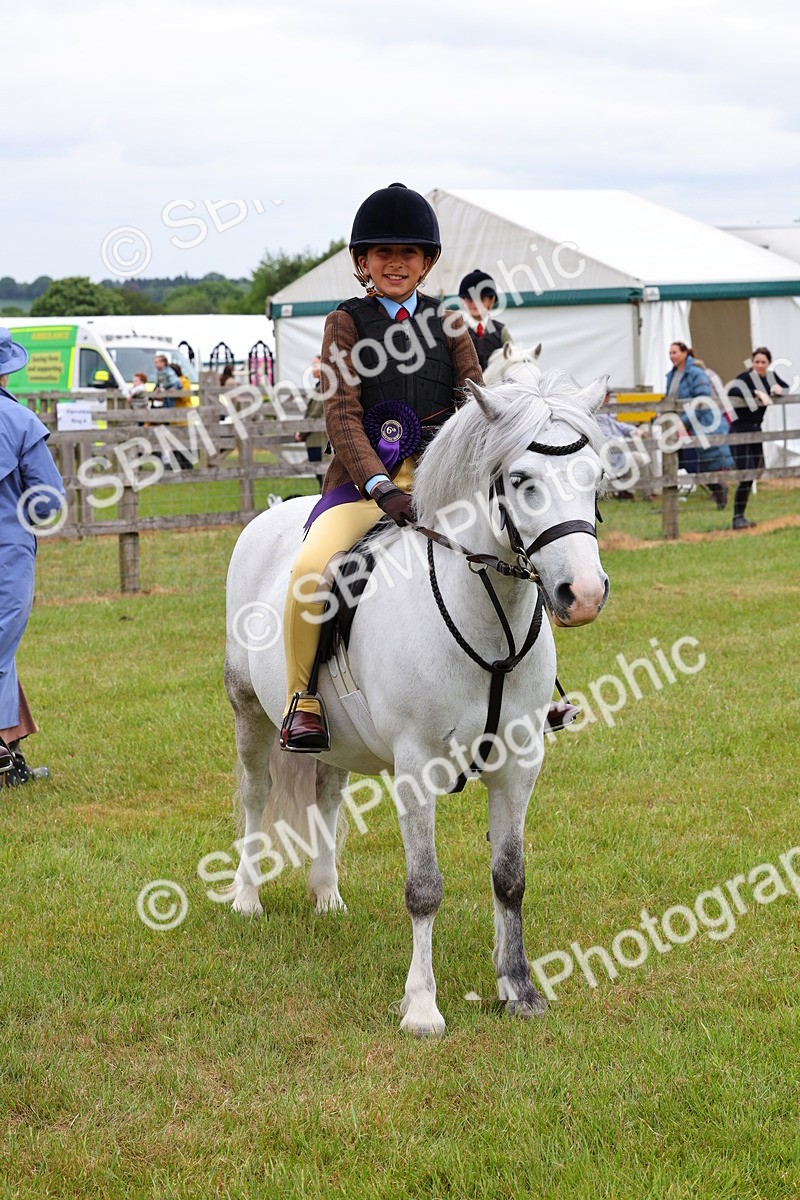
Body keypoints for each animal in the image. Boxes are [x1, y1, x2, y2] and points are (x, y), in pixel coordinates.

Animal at [224, 368, 610, 1036]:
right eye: (521, 480)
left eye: (594, 477)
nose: (582, 594)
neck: (488, 619)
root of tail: (272, 515)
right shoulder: (415, 767)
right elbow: (424, 887)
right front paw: (422, 1007)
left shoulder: (520, 765)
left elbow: (510, 878)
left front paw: (518, 989)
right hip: (249, 712)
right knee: (256, 794)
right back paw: (247, 897)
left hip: (335, 738)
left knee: (326, 795)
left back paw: (327, 895)